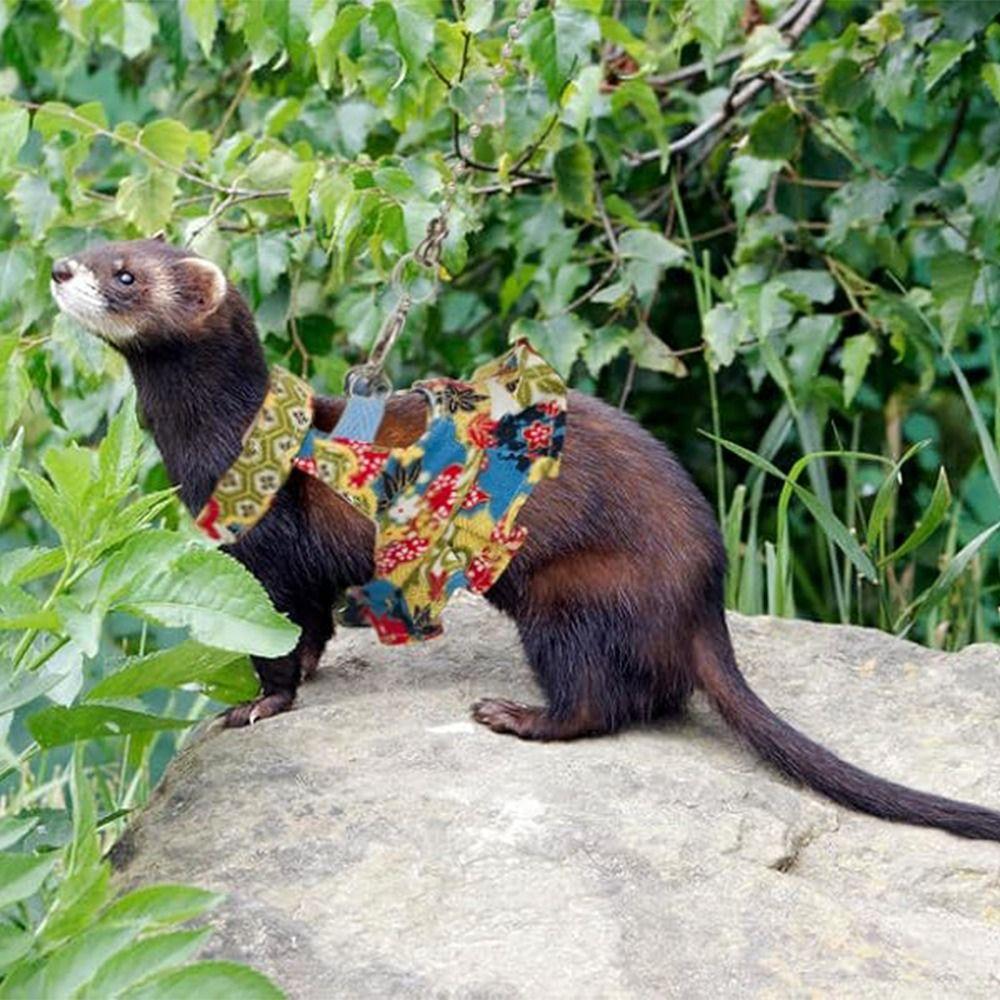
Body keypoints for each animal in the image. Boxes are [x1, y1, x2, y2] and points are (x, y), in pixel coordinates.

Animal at [50, 236, 1000, 842]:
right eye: (97, 240)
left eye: (125, 272)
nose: (61, 264)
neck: (222, 443)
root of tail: (706, 599)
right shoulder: (293, 574)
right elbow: (310, 633)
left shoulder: (271, 554)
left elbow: (284, 647)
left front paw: (255, 705)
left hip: (562, 595)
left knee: (597, 704)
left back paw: (514, 714)